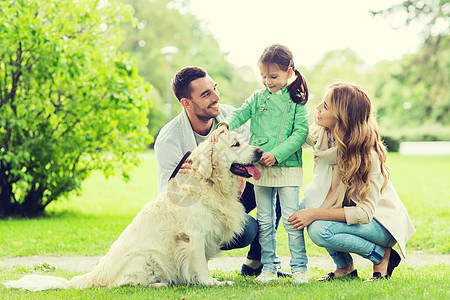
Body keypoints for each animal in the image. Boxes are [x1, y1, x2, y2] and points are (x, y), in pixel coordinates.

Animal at [3, 132, 262, 290]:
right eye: (235, 144)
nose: (260, 151)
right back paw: (160, 284)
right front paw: (212, 283)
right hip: (143, 257)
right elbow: (200, 265)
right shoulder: (194, 237)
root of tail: (94, 275)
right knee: (122, 284)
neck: (209, 183)